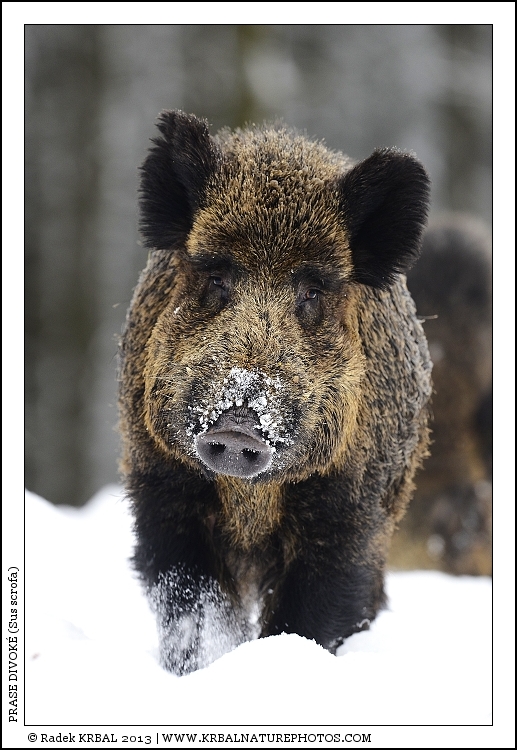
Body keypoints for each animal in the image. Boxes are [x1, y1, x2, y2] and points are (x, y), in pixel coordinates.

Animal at [118, 110, 432, 674]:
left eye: (312, 290)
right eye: (217, 276)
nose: (239, 425)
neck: (251, 498)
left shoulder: (349, 512)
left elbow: (310, 614)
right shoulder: (160, 486)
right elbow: (193, 603)